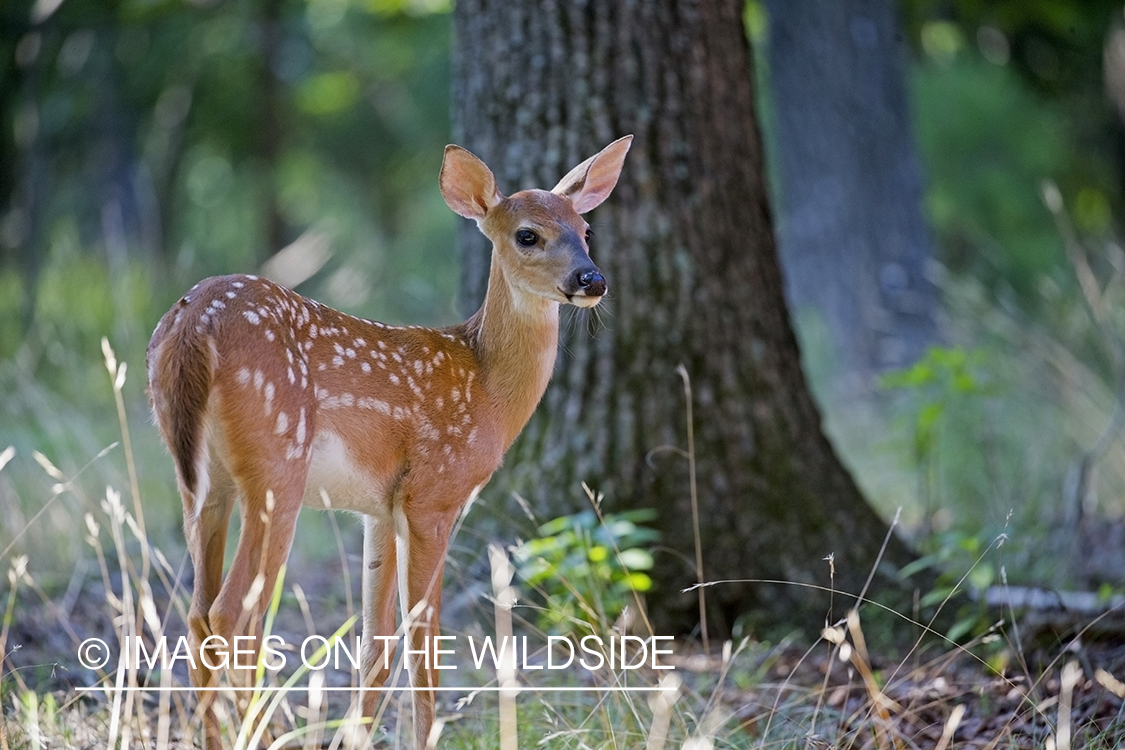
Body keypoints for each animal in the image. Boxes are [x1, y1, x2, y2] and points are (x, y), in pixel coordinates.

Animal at [146, 135, 632, 748]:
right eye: (528, 235)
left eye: (585, 230)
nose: (592, 281)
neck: (487, 390)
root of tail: (192, 328)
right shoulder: (433, 496)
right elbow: (425, 646)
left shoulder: (378, 509)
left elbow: (376, 647)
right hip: (277, 466)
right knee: (233, 612)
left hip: (201, 478)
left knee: (196, 611)